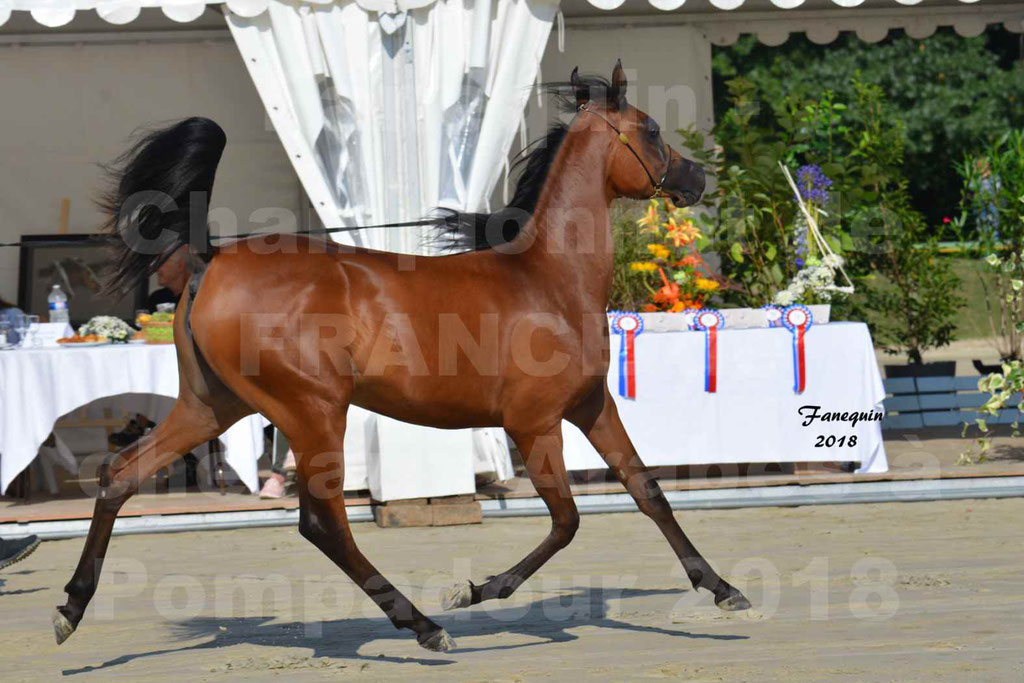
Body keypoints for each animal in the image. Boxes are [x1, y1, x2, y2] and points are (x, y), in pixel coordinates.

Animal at [51, 62, 749, 651]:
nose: (696, 179)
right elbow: (567, 521)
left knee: (121, 474)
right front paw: (475, 590)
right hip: (312, 410)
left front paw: (723, 590)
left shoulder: (591, 405)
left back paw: (71, 609)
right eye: (651, 131)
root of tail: (210, 258)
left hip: (210, 406)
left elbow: (647, 490)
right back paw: (424, 626)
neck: (548, 278)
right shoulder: (534, 423)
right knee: (322, 522)